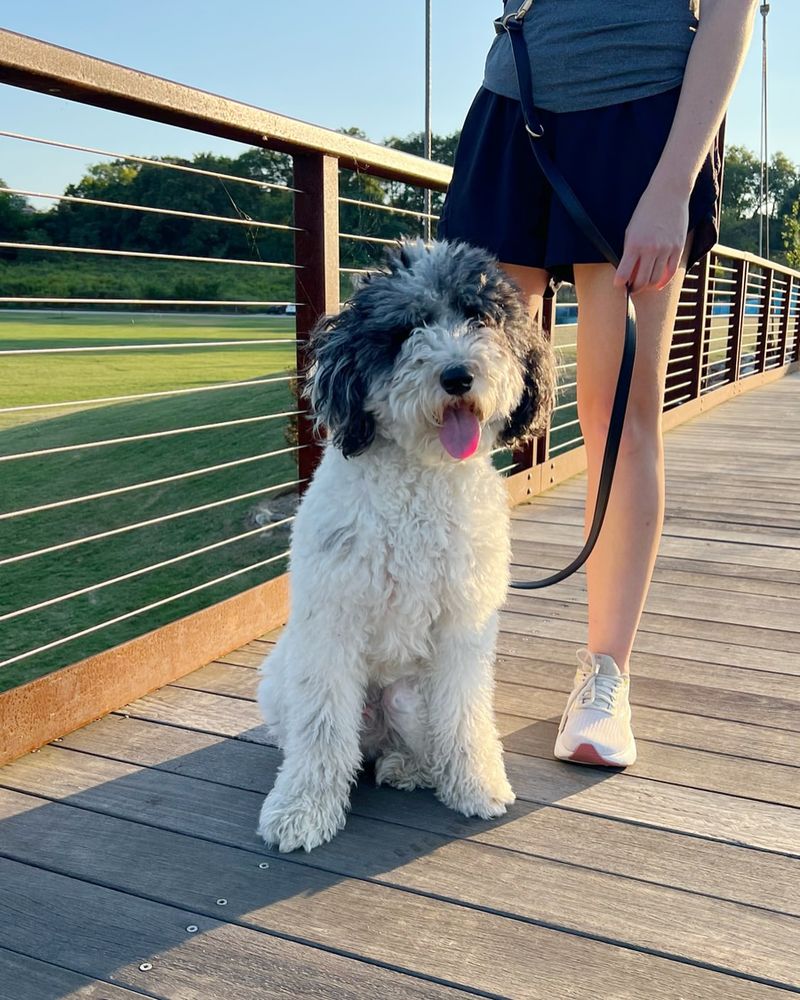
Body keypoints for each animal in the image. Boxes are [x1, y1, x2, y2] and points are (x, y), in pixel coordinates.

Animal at [258, 236, 556, 852]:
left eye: (479, 318)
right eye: (407, 330)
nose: (458, 374)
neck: (421, 479)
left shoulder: (464, 625)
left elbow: (465, 715)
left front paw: (476, 784)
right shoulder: (331, 623)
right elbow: (321, 729)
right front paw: (301, 810)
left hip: (411, 696)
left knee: (416, 739)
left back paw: (411, 767)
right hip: (280, 678)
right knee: (329, 737)